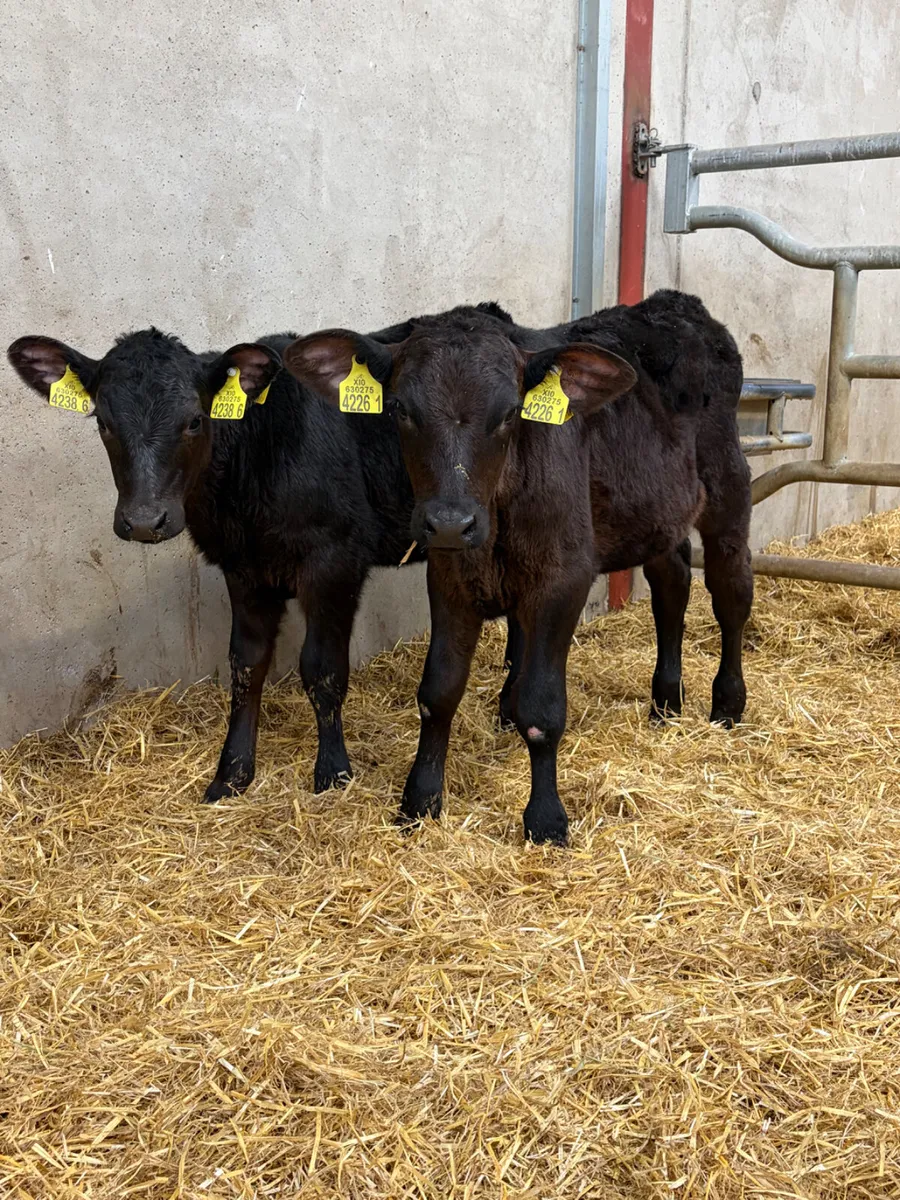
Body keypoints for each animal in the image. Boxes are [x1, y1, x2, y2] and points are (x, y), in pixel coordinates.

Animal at [7, 309, 508, 802]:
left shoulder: (335, 562)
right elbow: (246, 664)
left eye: (194, 420)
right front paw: (231, 774)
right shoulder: (244, 569)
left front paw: (333, 774)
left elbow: (323, 670)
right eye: (103, 422)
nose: (145, 521)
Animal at [283, 290, 752, 846]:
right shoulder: (448, 577)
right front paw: (419, 801)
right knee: (672, 586)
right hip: (656, 510)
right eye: (398, 408)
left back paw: (727, 704)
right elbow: (438, 691)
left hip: (727, 485)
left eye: (510, 413)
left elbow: (541, 707)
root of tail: (675, 303)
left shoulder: (563, 579)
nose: (450, 521)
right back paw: (665, 702)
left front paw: (546, 820)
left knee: (731, 593)